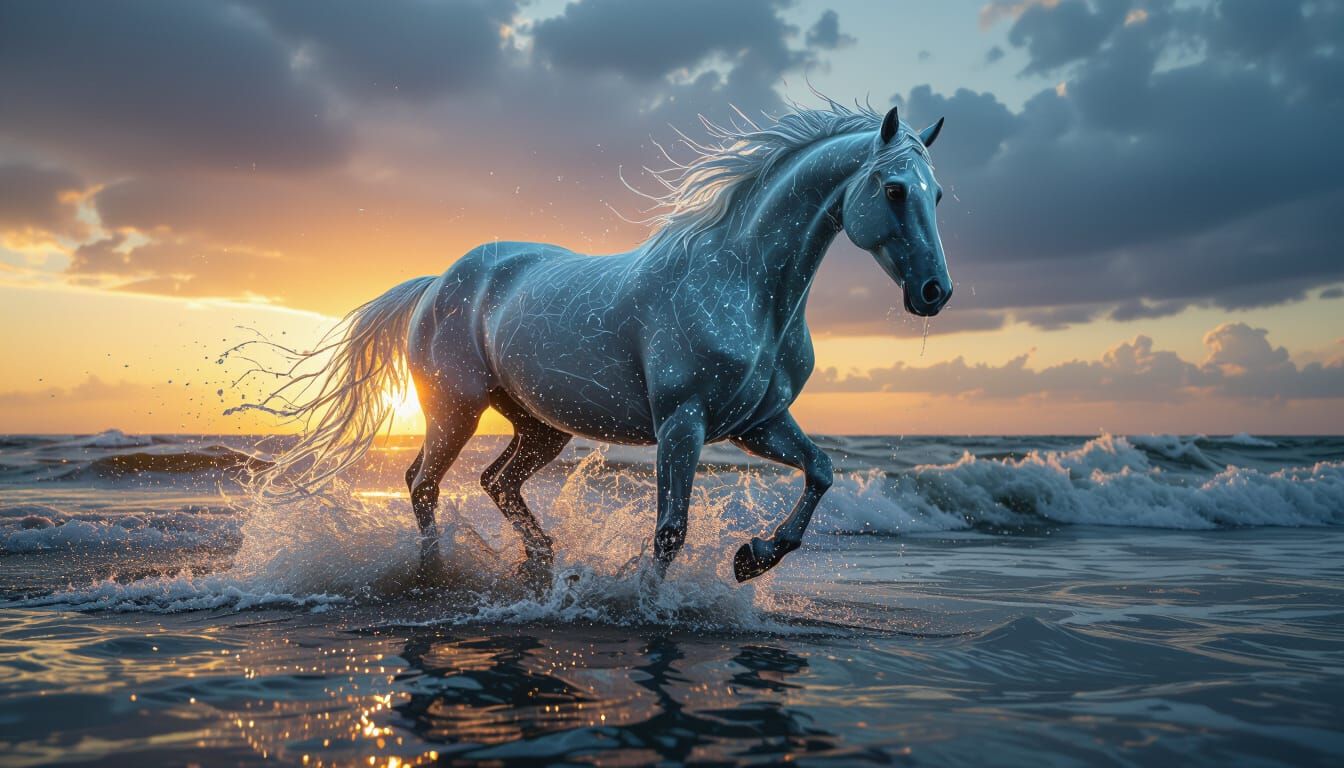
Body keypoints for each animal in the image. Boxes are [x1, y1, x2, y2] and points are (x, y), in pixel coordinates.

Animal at [243, 101, 953, 586]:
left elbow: (822, 470)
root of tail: (435, 283)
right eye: (894, 189)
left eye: (938, 193)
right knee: (422, 483)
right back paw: (437, 574)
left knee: (495, 482)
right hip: (454, 409)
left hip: (541, 426)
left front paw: (753, 558)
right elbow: (669, 531)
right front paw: (649, 604)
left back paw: (540, 566)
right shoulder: (683, 423)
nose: (934, 291)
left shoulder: (759, 422)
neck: (745, 287)